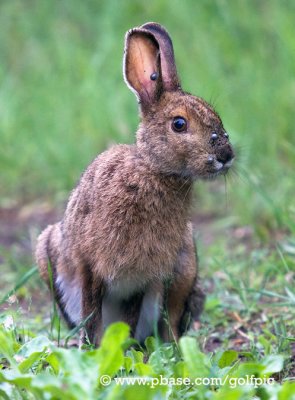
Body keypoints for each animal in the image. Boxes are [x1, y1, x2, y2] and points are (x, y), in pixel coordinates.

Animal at [35, 22, 235, 346]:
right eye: (179, 124)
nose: (226, 156)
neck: (154, 170)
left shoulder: (140, 279)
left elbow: (128, 317)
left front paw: (119, 348)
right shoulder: (91, 266)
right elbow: (92, 313)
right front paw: (96, 350)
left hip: (186, 264)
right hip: (46, 251)